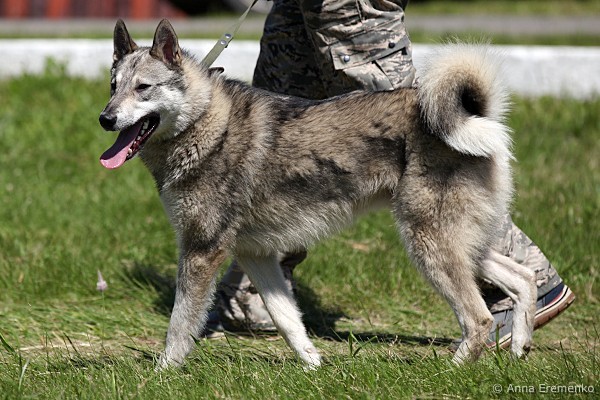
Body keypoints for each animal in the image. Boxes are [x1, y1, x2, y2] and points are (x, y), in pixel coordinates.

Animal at [98, 19, 537, 369]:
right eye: (113, 86)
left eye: (143, 88)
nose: (105, 118)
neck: (206, 124)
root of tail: (477, 114)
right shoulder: (256, 255)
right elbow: (288, 320)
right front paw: (313, 367)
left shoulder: (201, 251)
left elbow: (179, 324)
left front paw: (162, 374)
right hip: (458, 243)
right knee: (522, 276)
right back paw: (520, 346)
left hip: (429, 243)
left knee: (478, 318)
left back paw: (452, 368)